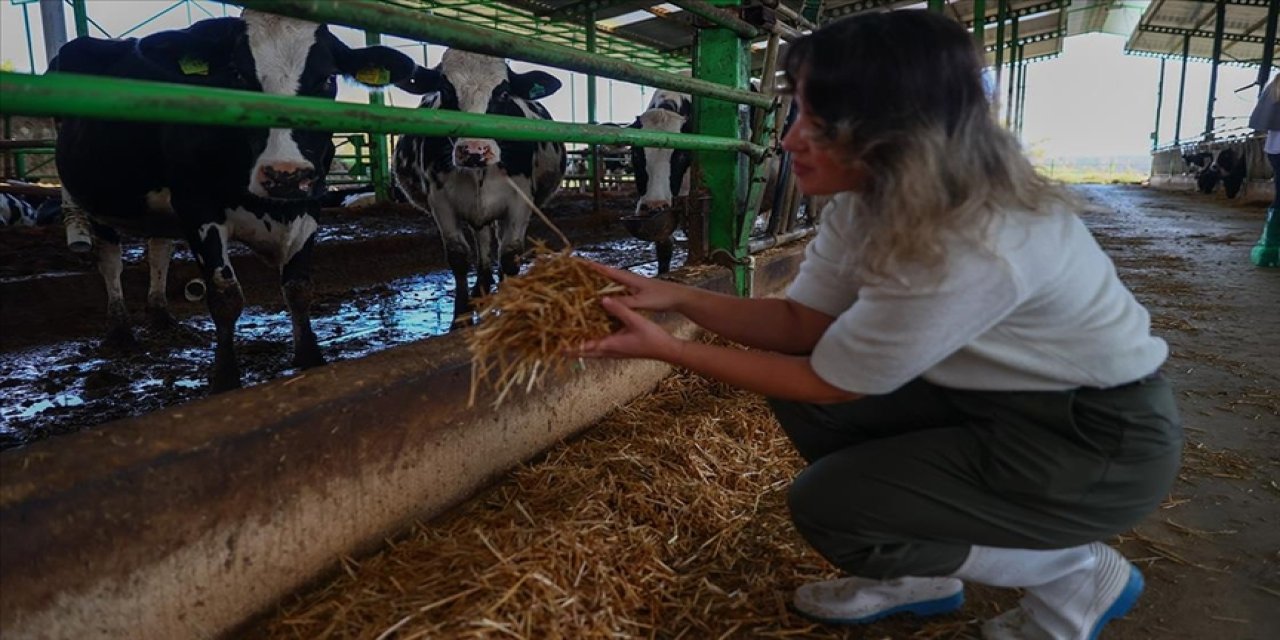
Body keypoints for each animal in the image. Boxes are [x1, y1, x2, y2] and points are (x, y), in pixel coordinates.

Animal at [52, 10, 414, 389]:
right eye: (238, 75)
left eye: (327, 79)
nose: (284, 174)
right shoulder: (197, 206)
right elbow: (226, 296)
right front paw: (224, 380)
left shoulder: (309, 204)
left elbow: (298, 288)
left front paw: (309, 360)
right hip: (93, 198)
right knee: (110, 261)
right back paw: (120, 332)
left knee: (158, 249)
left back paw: (161, 317)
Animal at [394, 49, 565, 327]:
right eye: (446, 89)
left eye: (503, 93)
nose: (475, 150)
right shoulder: (440, 202)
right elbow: (458, 257)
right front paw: (460, 318)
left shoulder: (520, 201)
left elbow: (510, 255)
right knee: (483, 245)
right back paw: (482, 287)